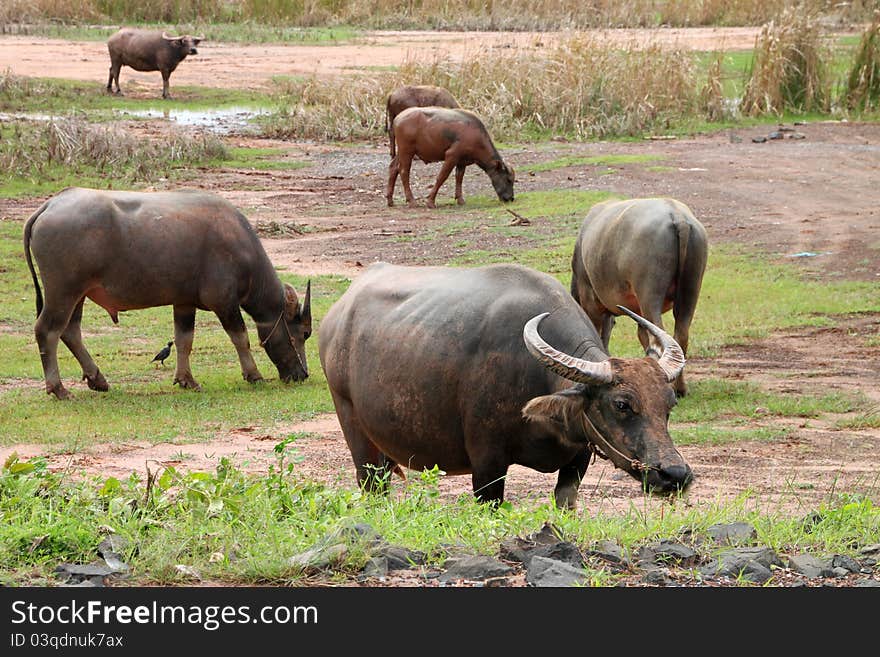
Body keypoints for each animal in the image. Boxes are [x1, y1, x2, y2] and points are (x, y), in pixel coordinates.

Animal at [23, 187, 312, 398]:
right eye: (302, 334)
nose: (302, 374)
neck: (241, 248)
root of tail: (51, 205)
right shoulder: (224, 303)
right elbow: (241, 338)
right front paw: (254, 374)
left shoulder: (184, 302)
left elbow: (184, 340)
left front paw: (186, 380)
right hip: (63, 292)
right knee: (47, 330)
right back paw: (58, 388)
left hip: (79, 294)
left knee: (70, 331)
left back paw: (98, 379)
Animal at [318, 262, 696, 508]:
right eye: (621, 404)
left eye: (669, 405)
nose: (675, 474)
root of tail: (338, 315)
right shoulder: (487, 464)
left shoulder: (577, 460)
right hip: (352, 425)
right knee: (370, 484)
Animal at [384, 106, 516, 208]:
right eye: (508, 180)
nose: (510, 198)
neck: (476, 136)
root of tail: (397, 118)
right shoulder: (451, 156)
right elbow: (442, 177)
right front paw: (430, 202)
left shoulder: (462, 162)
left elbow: (459, 178)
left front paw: (460, 199)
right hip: (407, 151)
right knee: (403, 171)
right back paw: (411, 201)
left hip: (402, 152)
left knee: (393, 168)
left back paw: (390, 200)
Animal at [572, 197, 708, 398]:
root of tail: (679, 217)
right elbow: (640, 333)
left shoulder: (590, 299)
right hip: (691, 288)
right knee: (681, 335)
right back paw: (680, 388)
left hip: (650, 293)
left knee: (659, 336)